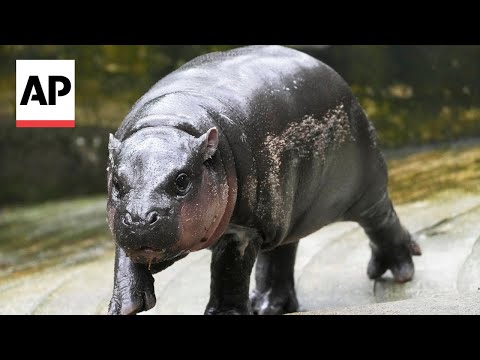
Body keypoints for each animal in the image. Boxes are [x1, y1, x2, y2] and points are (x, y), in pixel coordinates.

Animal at [106, 45, 420, 316]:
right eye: (117, 183)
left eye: (182, 180)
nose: (140, 218)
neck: (169, 122)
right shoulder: (121, 220)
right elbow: (124, 260)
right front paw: (125, 306)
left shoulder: (244, 229)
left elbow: (229, 273)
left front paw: (224, 314)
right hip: (287, 211)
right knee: (281, 253)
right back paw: (268, 305)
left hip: (364, 187)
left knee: (381, 219)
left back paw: (400, 270)